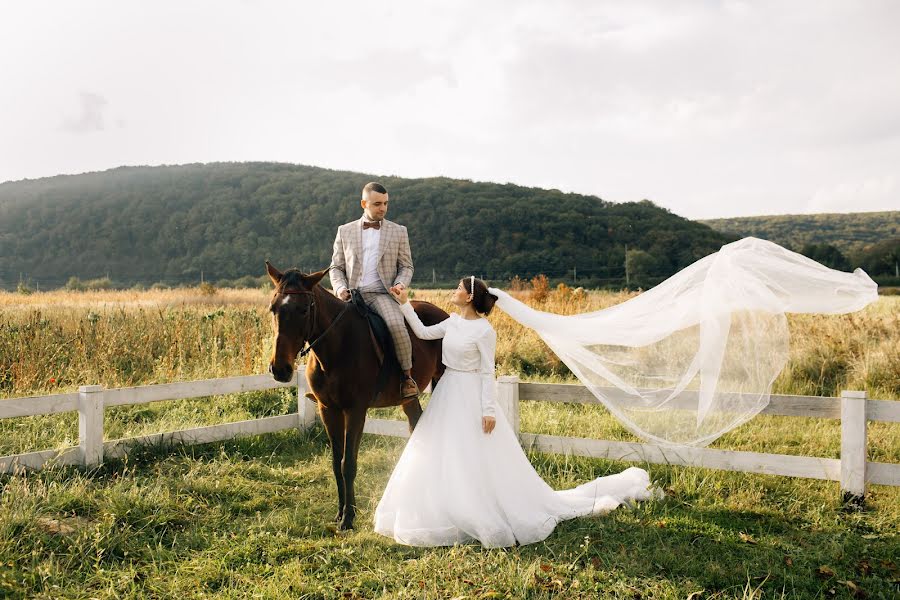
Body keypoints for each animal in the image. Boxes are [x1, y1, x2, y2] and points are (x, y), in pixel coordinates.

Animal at [268, 262, 450, 528]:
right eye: (273, 308)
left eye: (303, 310)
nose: (280, 369)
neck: (336, 348)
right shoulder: (328, 410)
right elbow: (336, 463)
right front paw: (340, 512)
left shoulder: (355, 411)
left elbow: (349, 464)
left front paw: (348, 518)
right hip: (408, 398)